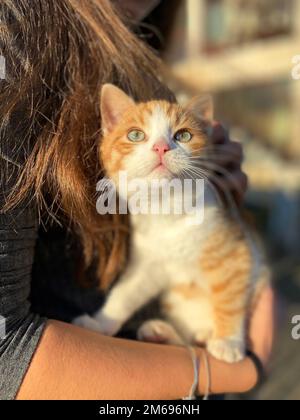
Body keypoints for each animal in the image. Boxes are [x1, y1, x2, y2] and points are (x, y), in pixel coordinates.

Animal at [74, 83, 270, 362]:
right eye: (135, 135)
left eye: (183, 135)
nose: (161, 147)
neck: (166, 210)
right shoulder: (149, 263)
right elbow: (125, 293)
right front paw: (100, 322)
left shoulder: (238, 250)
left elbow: (231, 297)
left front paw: (228, 341)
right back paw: (161, 332)